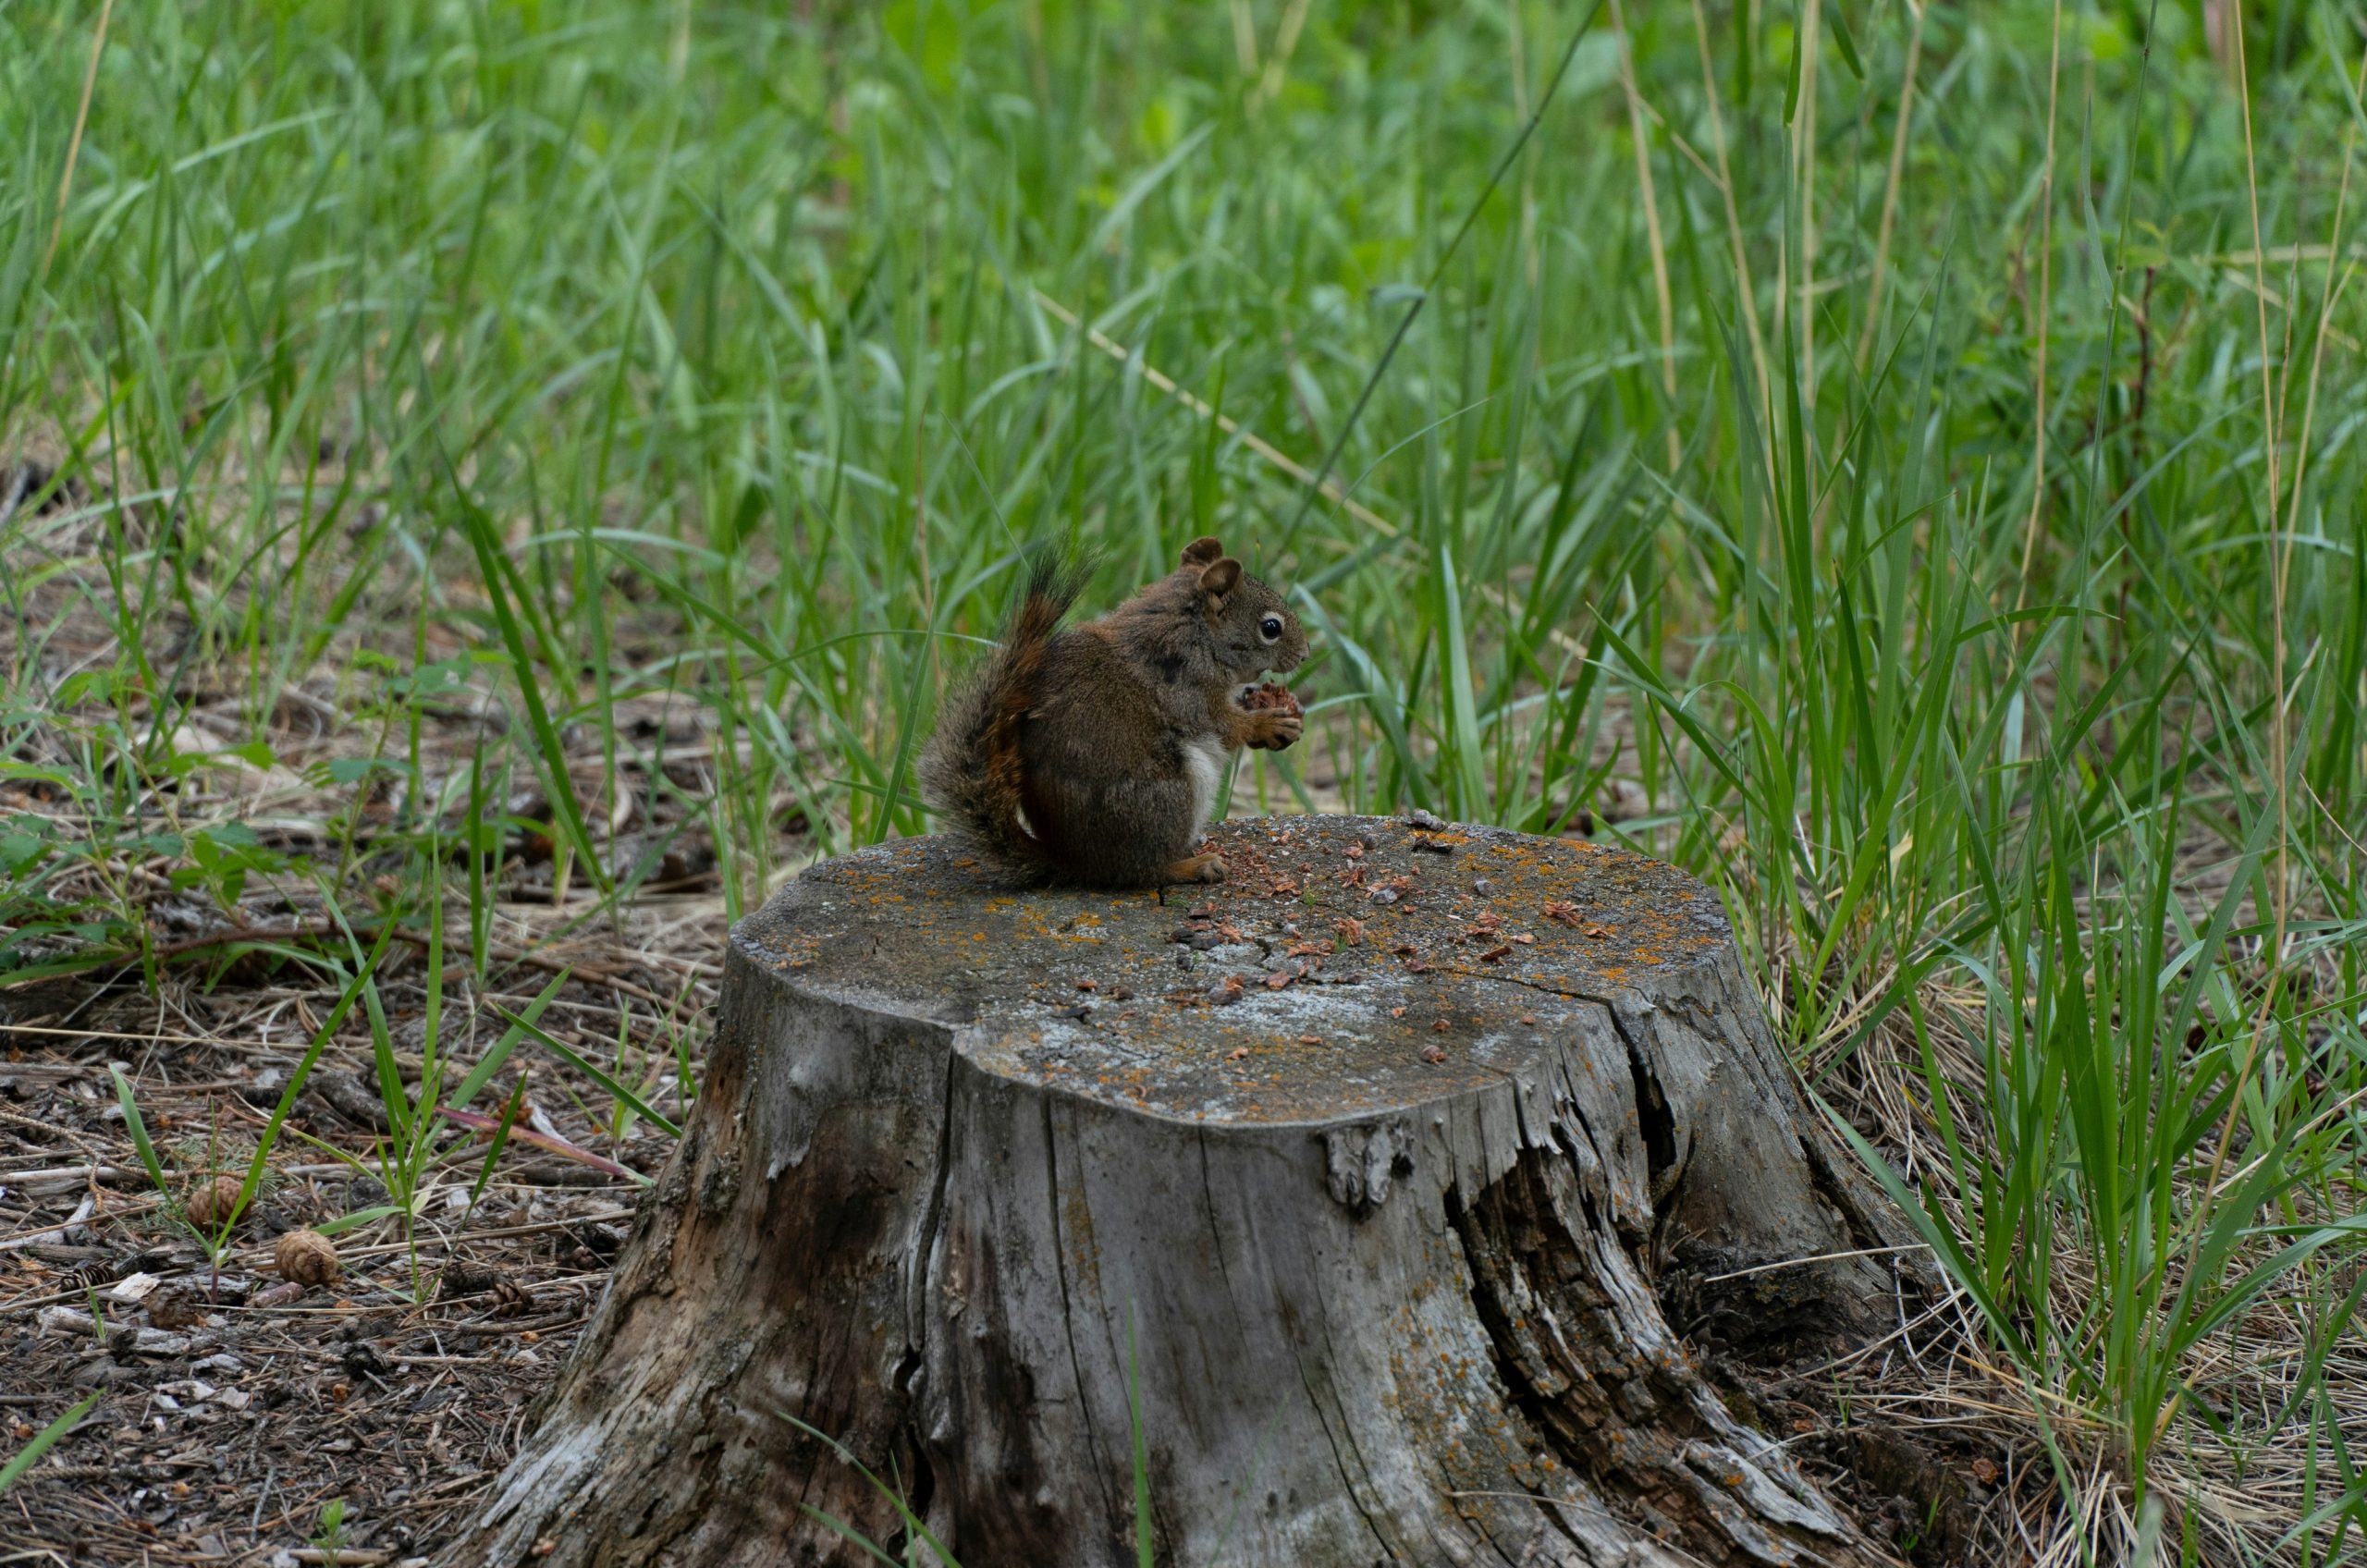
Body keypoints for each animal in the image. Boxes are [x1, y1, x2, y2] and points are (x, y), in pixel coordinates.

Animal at [921, 537, 1309, 889]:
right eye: (1270, 628)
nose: (1306, 653)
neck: (1196, 633)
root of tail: (1077, 863)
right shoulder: (1190, 692)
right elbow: (1226, 727)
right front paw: (1269, 724)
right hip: (1169, 794)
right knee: (1140, 873)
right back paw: (1192, 866)